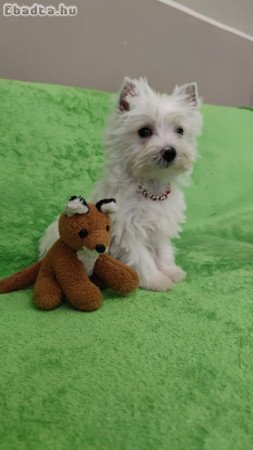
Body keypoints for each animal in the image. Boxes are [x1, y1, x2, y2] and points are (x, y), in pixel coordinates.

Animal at [39, 77, 202, 292]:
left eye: (180, 131)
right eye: (144, 131)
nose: (170, 151)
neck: (151, 188)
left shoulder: (160, 227)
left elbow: (163, 251)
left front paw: (171, 271)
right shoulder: (128, 231)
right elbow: (142, 258)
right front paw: (156, 281)